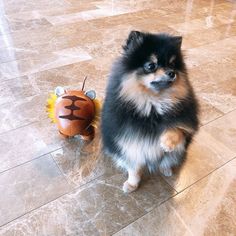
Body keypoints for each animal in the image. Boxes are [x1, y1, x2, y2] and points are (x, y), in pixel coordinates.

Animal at [100, 31, 198, 193]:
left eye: (172, 64)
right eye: (151, 65)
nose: (172, 73)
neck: (153, 104)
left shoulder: (186, 123)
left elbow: (176, 129)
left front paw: (167, 143)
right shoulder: (129, 140)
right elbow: (133, 167)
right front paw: (132, 183)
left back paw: (166, 168)